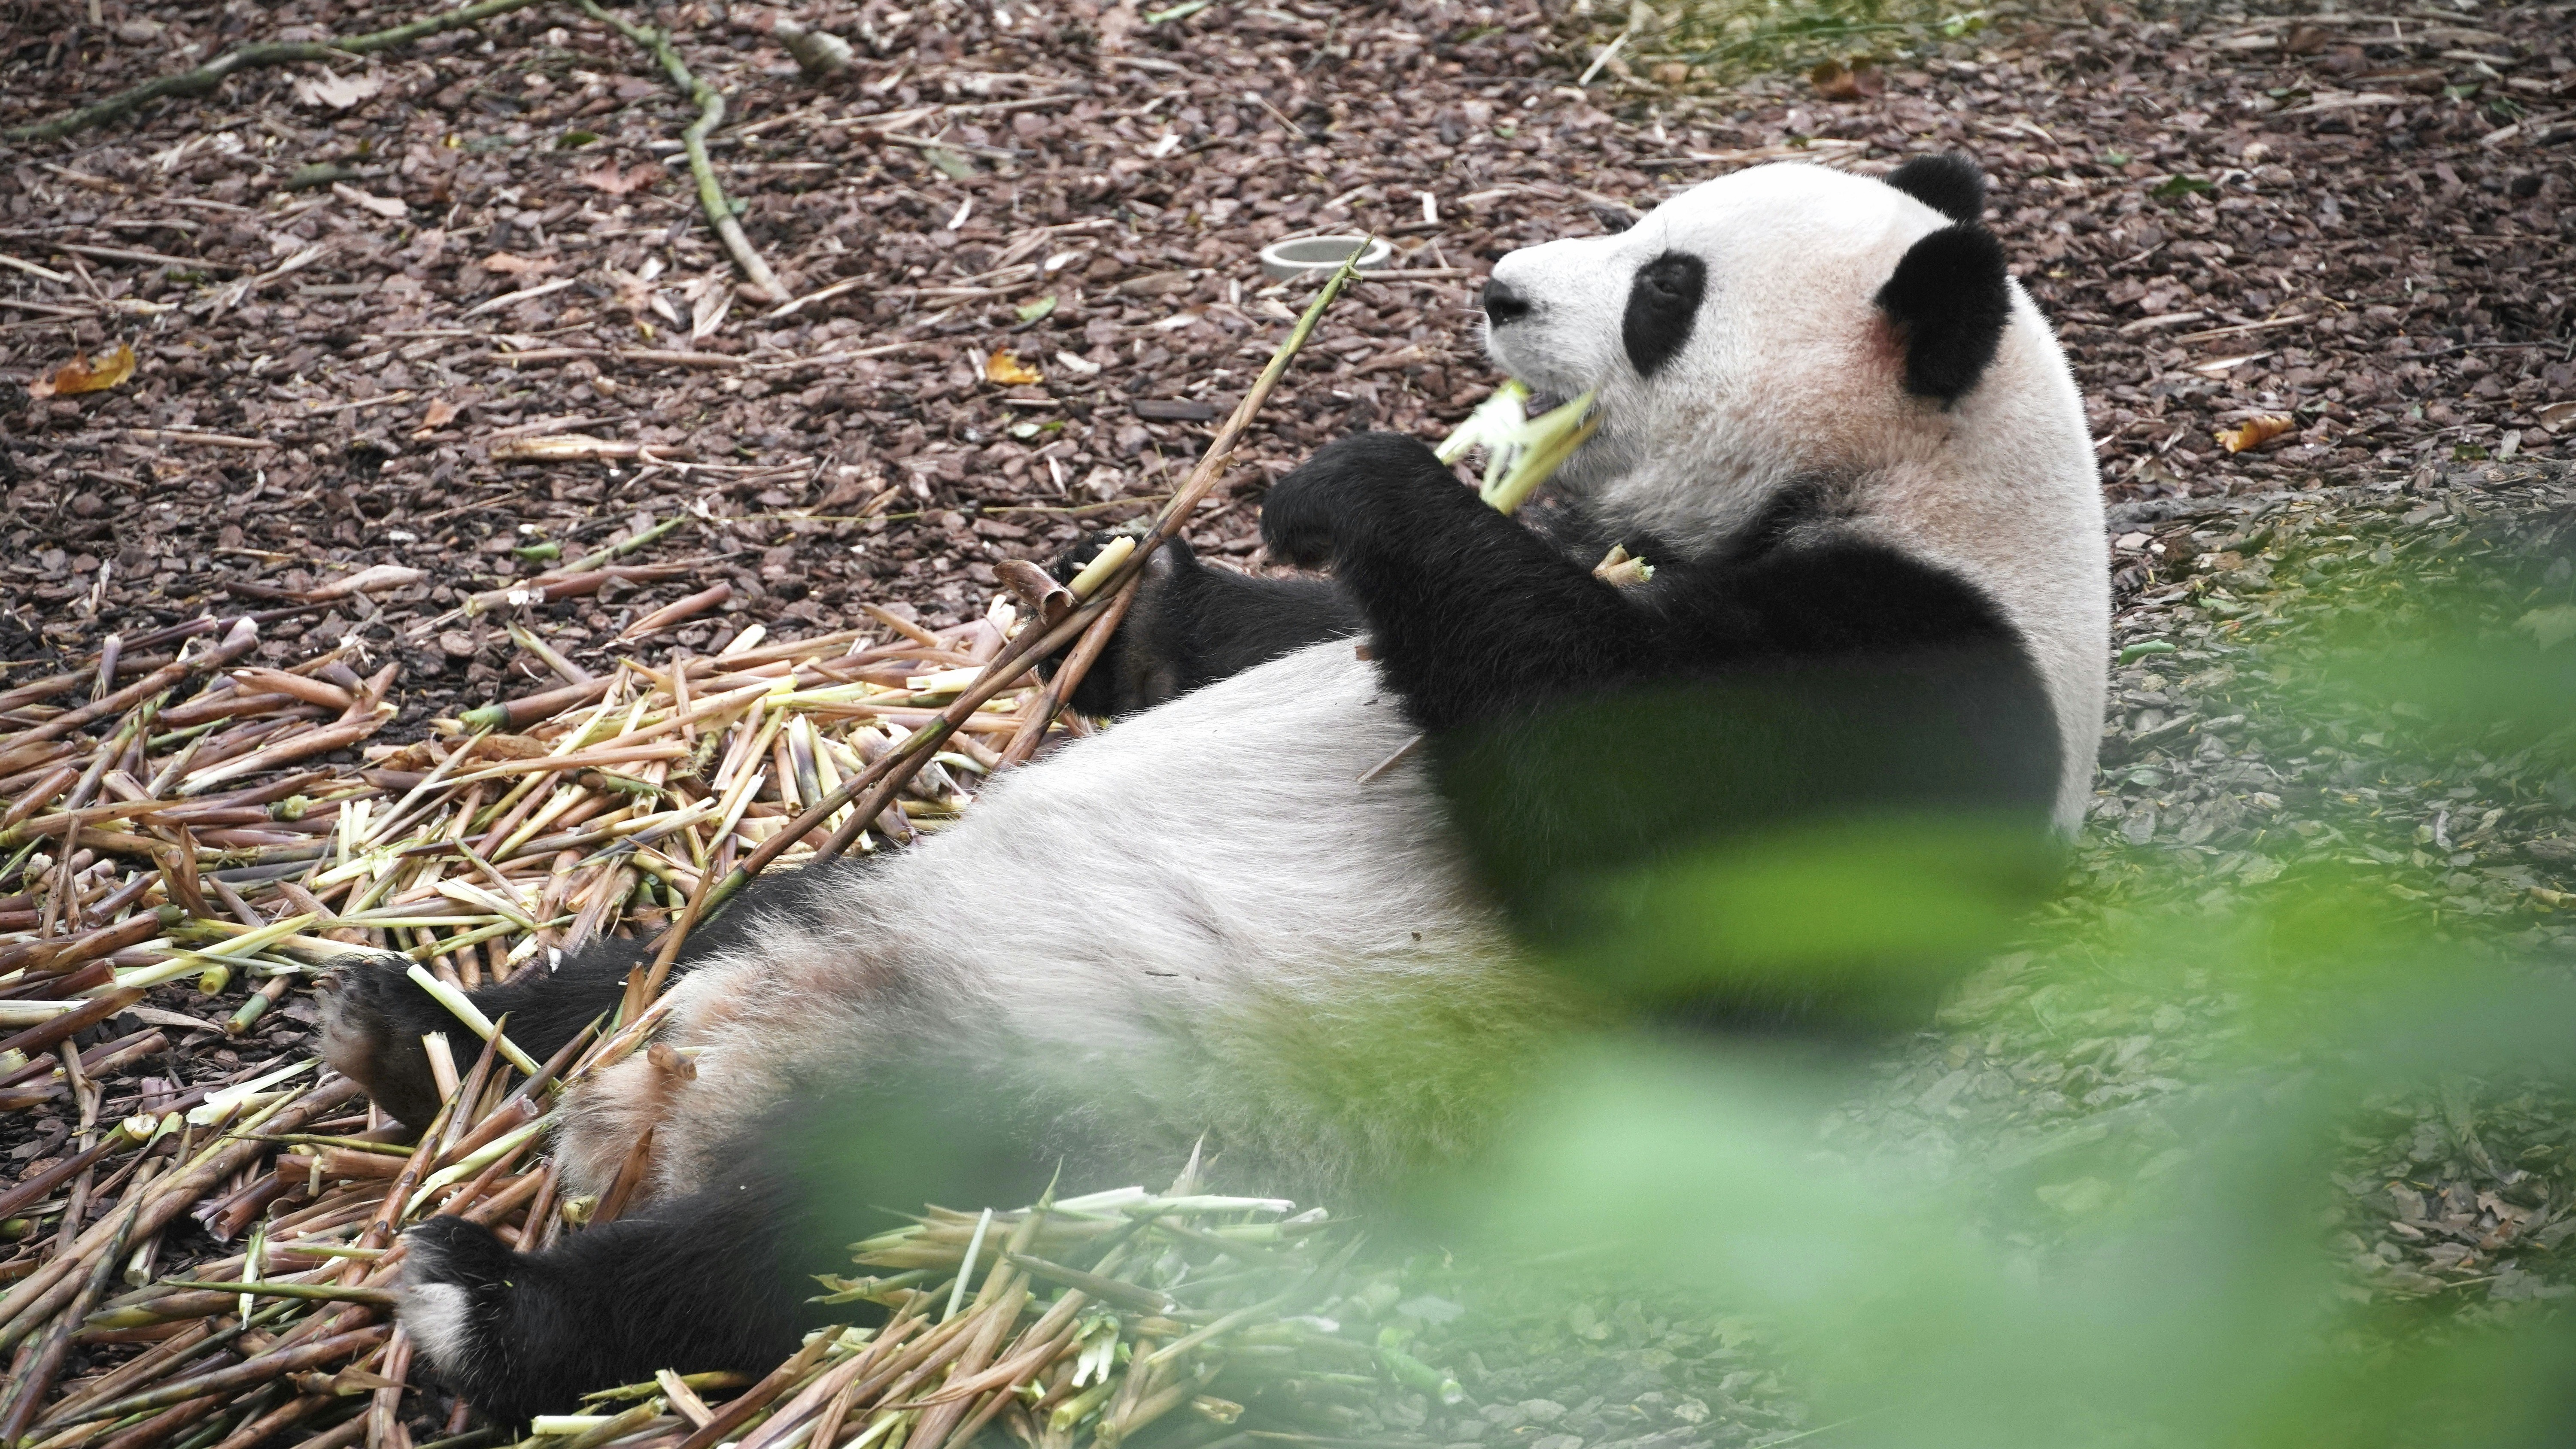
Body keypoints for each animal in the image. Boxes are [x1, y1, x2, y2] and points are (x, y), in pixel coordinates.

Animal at [321, 154, 2107, 1424]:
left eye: (1666, 286)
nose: (1502, 290)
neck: (1927, 492)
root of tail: (703, 1087)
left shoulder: (1924, 681)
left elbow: (1652, 830)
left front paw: (1362, 477)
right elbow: (1286, 638)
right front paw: (1127, 590)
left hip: (1091, 1122)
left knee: (823, 1235)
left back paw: (491, 1307)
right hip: (844, 901)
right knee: (664, 953)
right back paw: (412, 1027)